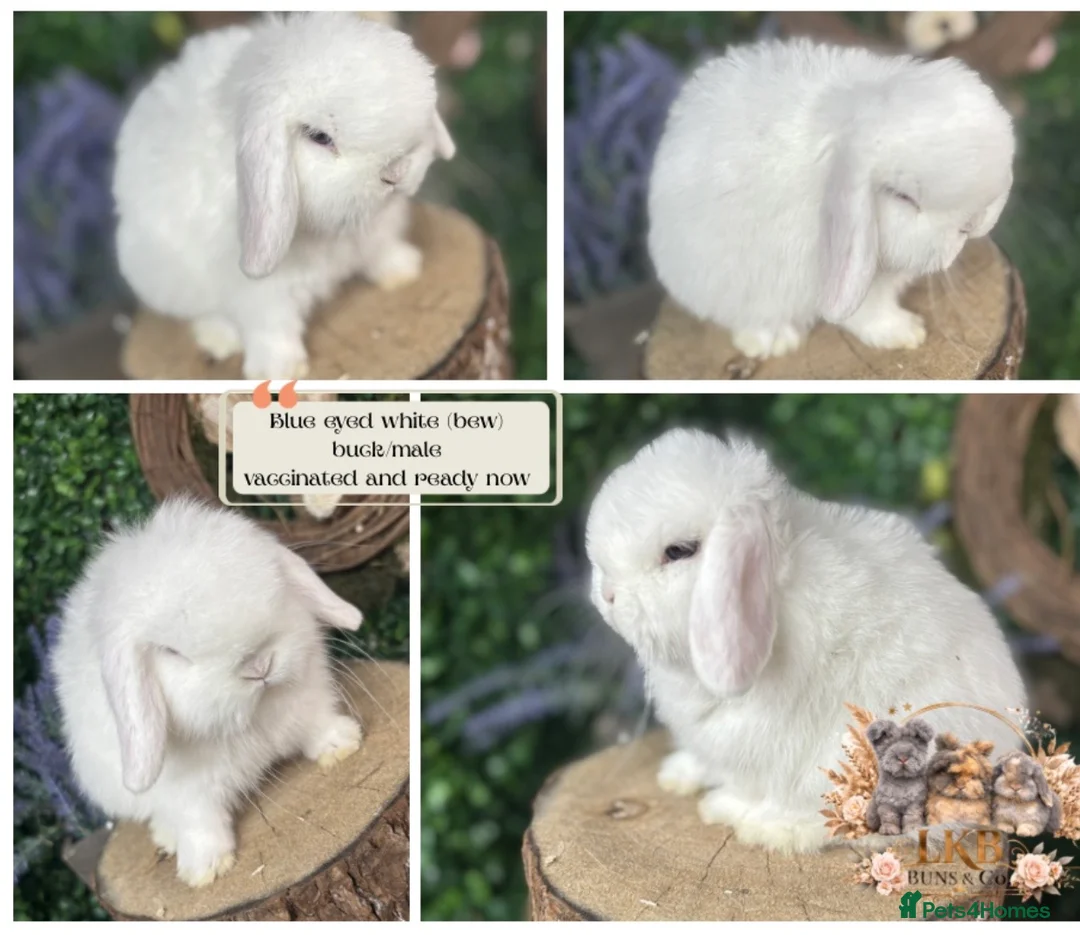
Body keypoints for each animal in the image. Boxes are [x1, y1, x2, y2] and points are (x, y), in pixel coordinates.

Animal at [52, 497, 366, 887]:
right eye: (171, 651)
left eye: (274, 585)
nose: (258, 666)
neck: (255, 715)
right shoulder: (187, 794)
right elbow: (199, 823)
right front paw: (205, 871)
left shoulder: (309, 700)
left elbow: (317, 725)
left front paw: (342, 745)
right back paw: (168, 840)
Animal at [113, 12, 455, 379]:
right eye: (319, 136)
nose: (395, 172)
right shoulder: (261, 293)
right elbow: (271, 327)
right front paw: (280, 371)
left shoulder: (375, 229)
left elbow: (379, 248)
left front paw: (403, 271)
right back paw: (220, 338)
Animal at [584, 428, 1026, 853]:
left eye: (678, 551)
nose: (607, 595)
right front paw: (677, 774)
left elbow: (749, 783)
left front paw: (721, 806)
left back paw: (768, 826)